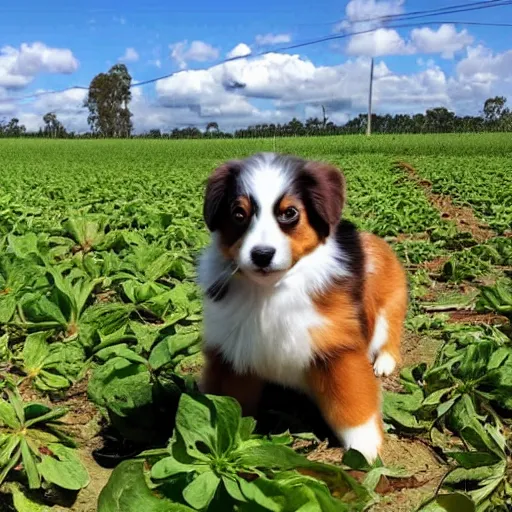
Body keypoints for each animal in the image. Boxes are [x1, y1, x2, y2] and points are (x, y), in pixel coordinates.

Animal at [196, 153, 408, 464]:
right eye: (238, 214)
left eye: (289, 213)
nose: (262, 254)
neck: (271, 290)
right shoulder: (232, 354)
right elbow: (231, 403)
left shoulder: (337, 348)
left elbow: (353, 404)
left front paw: (365, 451)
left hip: (388, 305)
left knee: (389, 334)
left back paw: (384, 362)